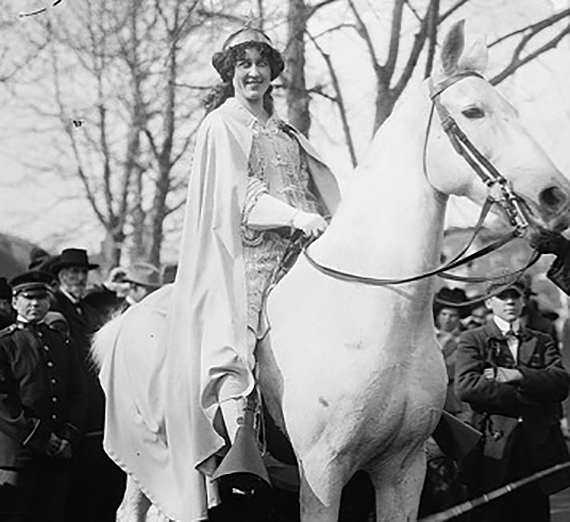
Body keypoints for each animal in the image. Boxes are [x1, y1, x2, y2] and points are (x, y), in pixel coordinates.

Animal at [91, 21, 568, 520]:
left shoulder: (404, 468)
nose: (555, 194)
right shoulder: (322, 471)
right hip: (153, 466)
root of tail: (123, 323)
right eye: (473, 111)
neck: (372, 313)